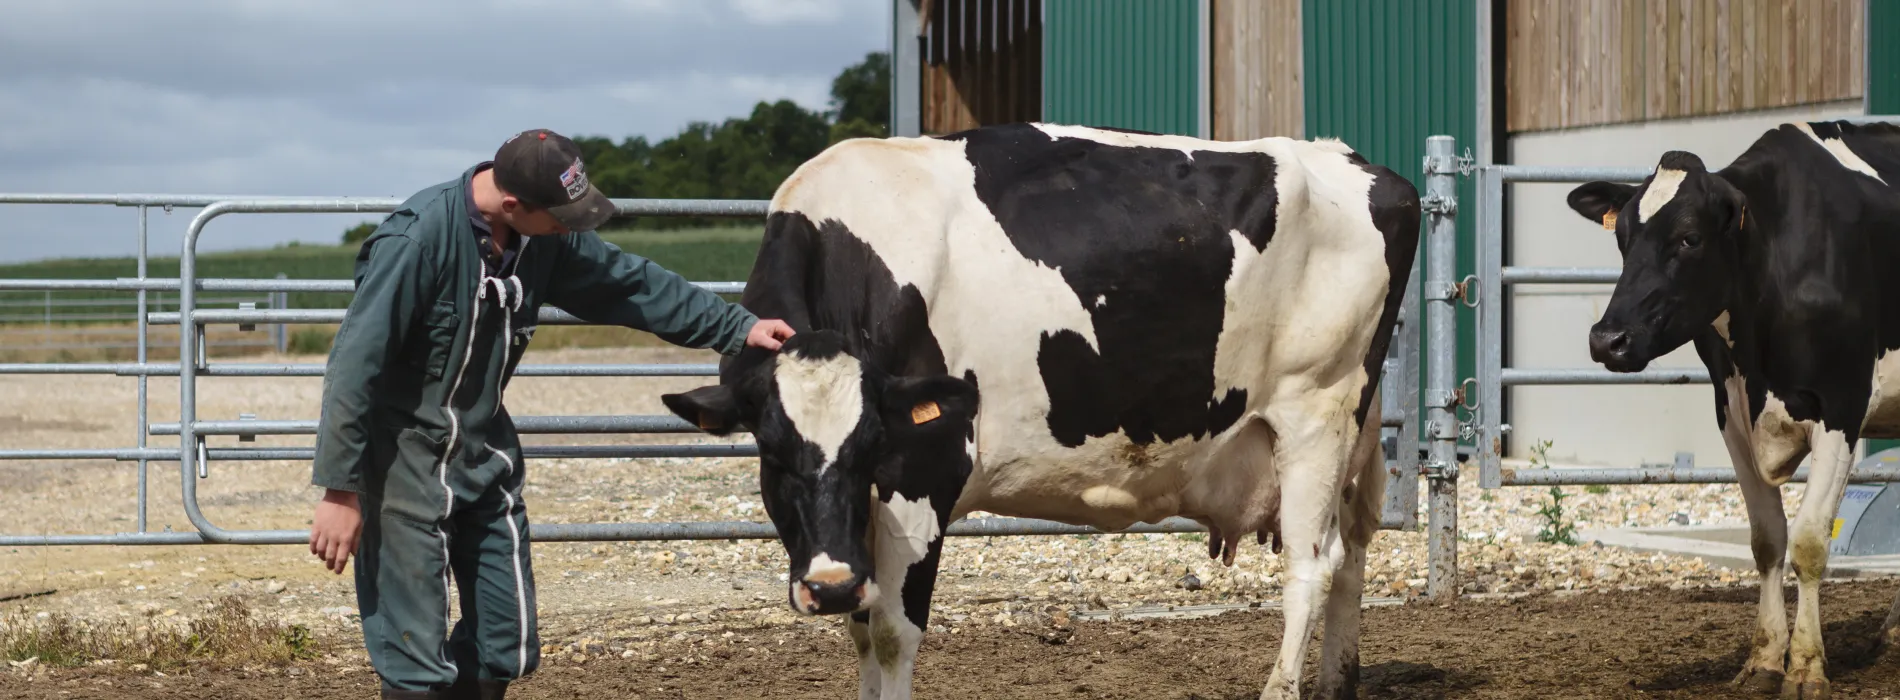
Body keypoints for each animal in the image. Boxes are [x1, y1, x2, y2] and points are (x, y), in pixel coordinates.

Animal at [661, 122, 1421, 700]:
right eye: (773, 452)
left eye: (871, 444)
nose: (829, 586)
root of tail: (1355, 162)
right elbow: (863, 633)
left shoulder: (923, 470)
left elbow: (891, 633)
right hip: (1346, 435)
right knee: (1351, 552)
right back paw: (1336, 684)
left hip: (1315, 415)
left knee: (1311, 566)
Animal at [1564, 119, 1900, 699]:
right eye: (1622, 237)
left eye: (1689, 238)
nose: (1608, 340)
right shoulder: (1733, 414)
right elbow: (1767, 540)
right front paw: (1764, 660)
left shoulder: (1842, 406)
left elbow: (1809, 541)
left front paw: (1806, 666)